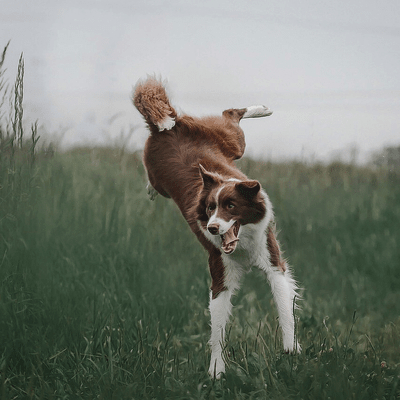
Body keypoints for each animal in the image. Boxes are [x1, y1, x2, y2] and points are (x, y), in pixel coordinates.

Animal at [132, 77, 300, 378]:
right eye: (210, 208)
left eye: (231, 206)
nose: (211, 228)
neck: (243, 244)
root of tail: (167, 126)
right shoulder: (219, 272)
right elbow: (218, 329)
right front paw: (216, 371)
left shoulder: (272, 261)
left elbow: (285, 308)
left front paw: (291, 349)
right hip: (169, 169)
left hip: (232, 142)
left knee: (231, 115)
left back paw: (262, 108)